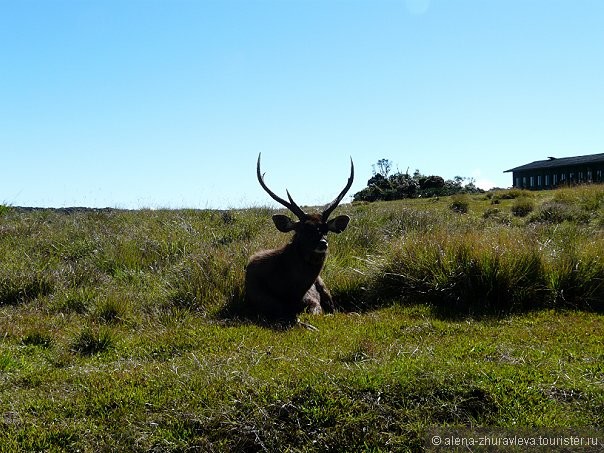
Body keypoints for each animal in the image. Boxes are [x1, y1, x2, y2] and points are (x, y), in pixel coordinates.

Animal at [245, 154, 354, 326]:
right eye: (303, 228)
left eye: (326, 230)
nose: (323, 243)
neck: (291, 292)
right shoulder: (262, 300)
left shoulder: (312, 299)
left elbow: (315, 312)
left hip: (324, 286)